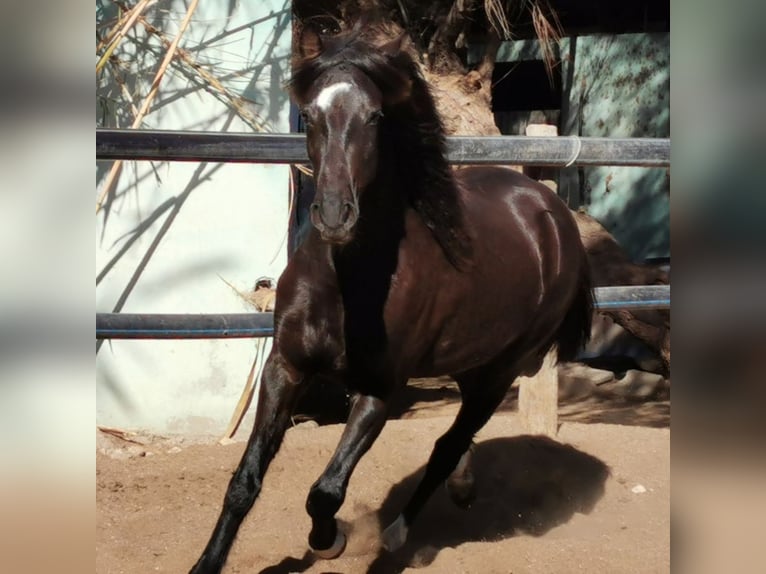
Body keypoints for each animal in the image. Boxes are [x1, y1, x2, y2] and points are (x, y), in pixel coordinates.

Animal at [190, 23, 592, 574]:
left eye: (375, 116)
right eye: (310, 114)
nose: (334, 215)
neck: (344, 285)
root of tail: (553, 212)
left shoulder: (379, 391)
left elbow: (326, 491)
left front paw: (331, 541)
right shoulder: (284, 367)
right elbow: (244, 482)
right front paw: (206, 564)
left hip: (502, 369)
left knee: (447, 445)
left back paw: (399, 533)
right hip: (471, 360)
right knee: (457, 440)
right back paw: (462, 488)